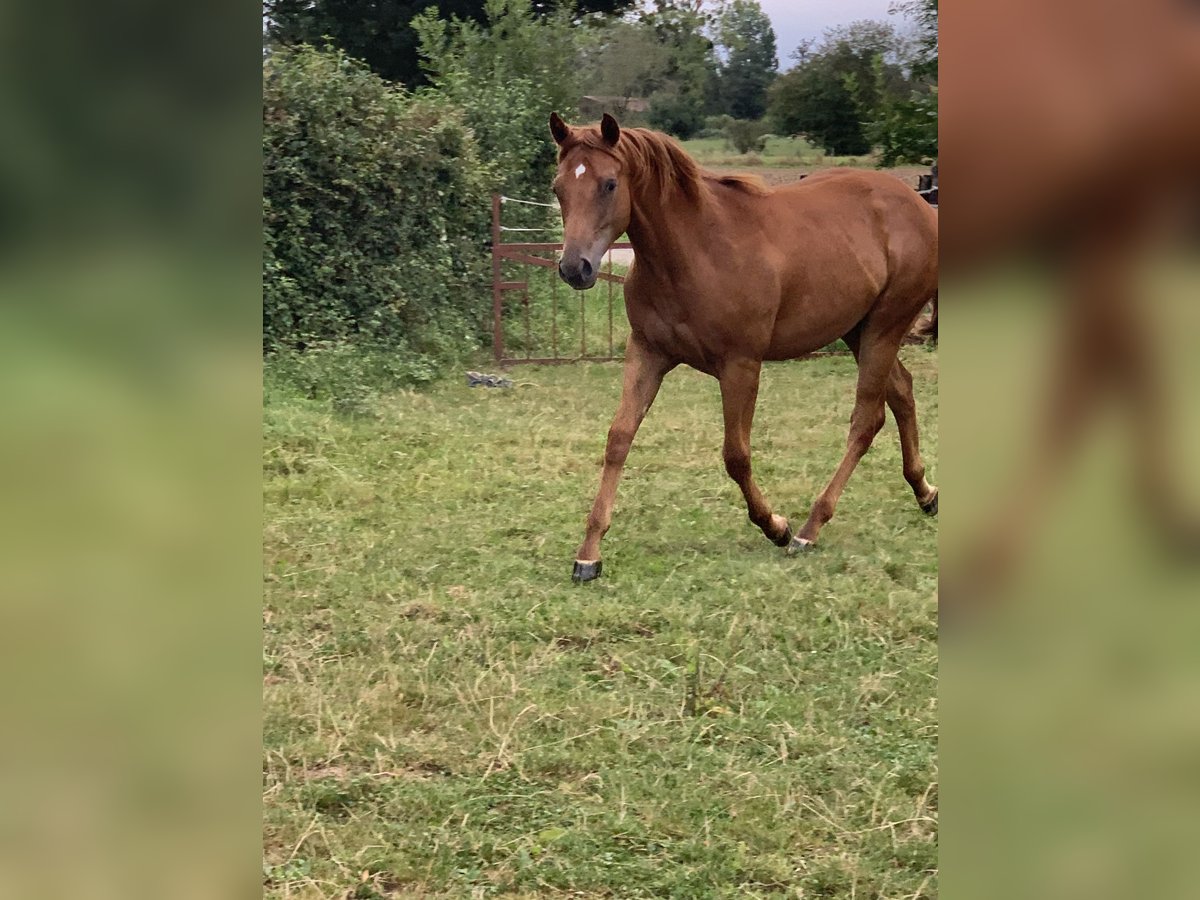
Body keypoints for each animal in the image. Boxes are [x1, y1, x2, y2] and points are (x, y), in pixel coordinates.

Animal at [552, 112, 936, 580]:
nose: (575, 268)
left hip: (884, 327)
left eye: (609, 184)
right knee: (902, 391)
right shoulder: (647, 354)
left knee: (867, 418)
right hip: (858, 330)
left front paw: (776, 526)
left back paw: (810, 528)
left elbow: (735, 455)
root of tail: (918, 205)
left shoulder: (740, 366)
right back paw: (925, 492)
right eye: (558, 187)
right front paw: (589, 553)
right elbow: (618, 439)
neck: (695, 251)